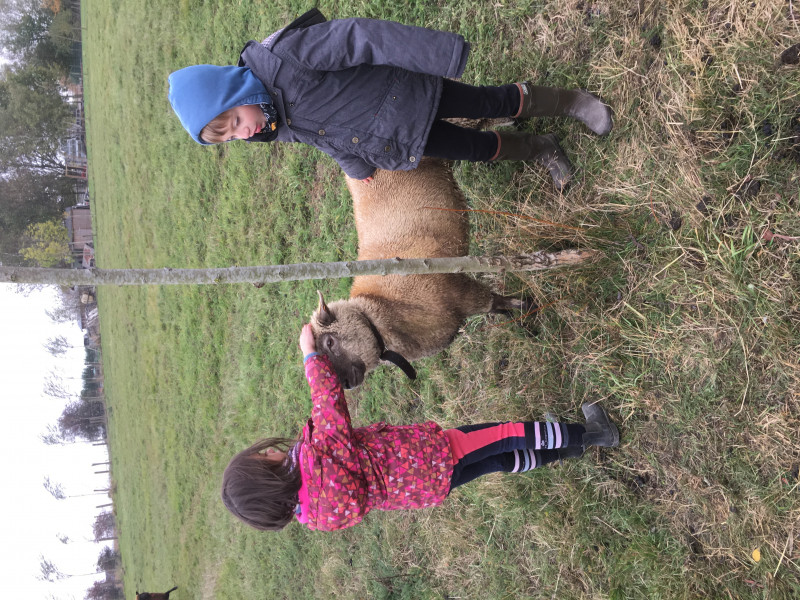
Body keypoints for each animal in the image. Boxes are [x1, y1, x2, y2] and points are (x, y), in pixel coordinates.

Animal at [310, 156, 532, 390]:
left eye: (330, 342)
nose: (344, 384)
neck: (384, 307)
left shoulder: (463, 292)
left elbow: (498, 302)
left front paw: (527, 309)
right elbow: (497, 309)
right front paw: (519, 320)